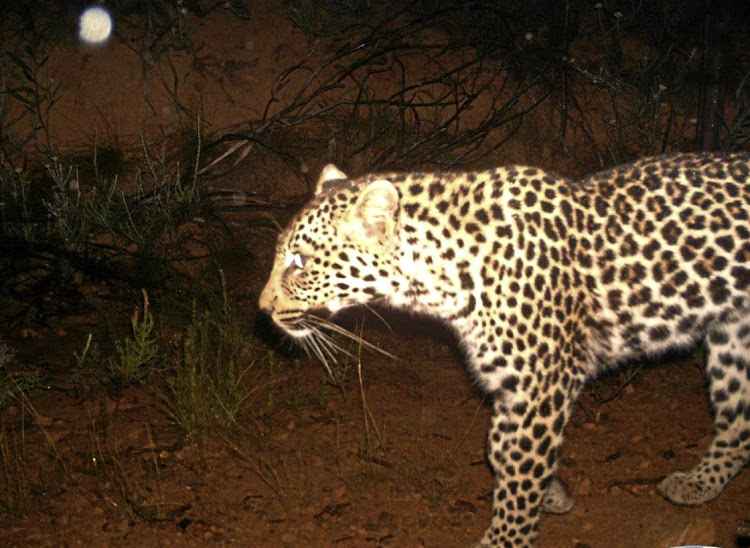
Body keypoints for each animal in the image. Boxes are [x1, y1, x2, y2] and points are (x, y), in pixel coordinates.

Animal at [262, 153, 750, 548]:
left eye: (300, 263)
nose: (262, 309)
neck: (442, 277)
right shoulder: (509, 383)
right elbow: (498, 447)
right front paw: (552, 493)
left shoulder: (543, 385)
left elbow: (519, 468)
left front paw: (506, 537)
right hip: (733, 341)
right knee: (738, 423)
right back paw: (697, 485)